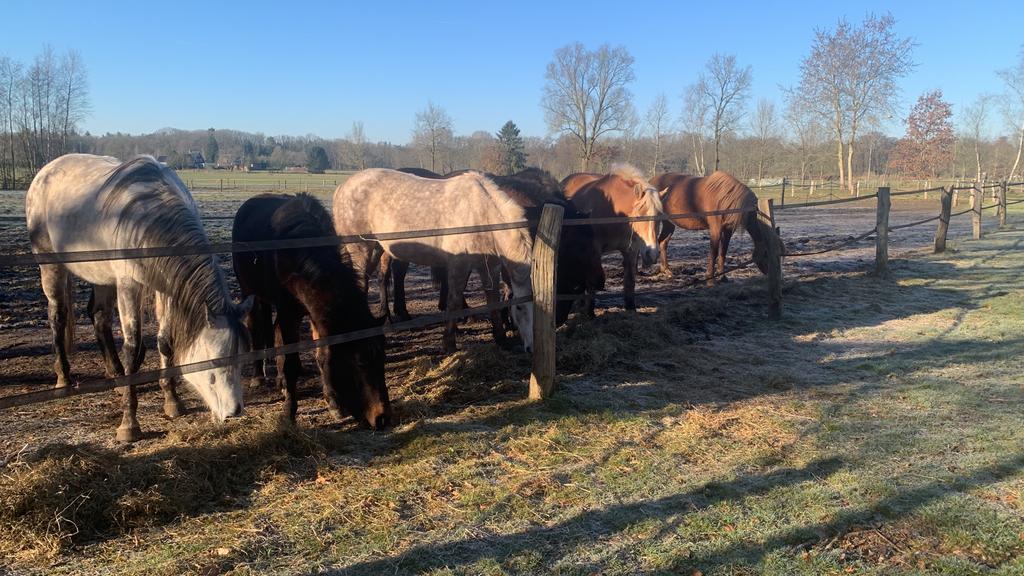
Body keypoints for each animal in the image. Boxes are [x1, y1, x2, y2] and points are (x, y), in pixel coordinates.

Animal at [25, 154, 252, 442]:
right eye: (214, 361)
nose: (234, 411)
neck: (150, 219)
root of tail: (46, 170)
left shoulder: (164, 289)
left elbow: (164, 342)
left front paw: (172, 401)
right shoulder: (128, 286)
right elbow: (132, 348)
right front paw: (129, 424)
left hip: (102, 277)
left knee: (99, 317)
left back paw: (116, 376)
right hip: (51, 266)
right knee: (57, 315)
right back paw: (63, 377)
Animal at [232, 193, 391, 429]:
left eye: (382, 358)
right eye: (360, 361)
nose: (382, 418)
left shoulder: (315, 314)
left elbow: (322, 355)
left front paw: (334, 403)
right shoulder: (289, 313)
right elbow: (292, 363)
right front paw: (288, 413)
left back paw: (280, 381)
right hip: (251, 293)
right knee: (256, 328)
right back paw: (258, 375)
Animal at [333, 168, 534, 353]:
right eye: (519, 308)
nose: (530, 348)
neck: (481, 213)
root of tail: (342, 187)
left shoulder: (489, 266)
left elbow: (493, 299)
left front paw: (501, 339)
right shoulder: (458, 265)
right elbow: (453, 301)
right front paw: (449, 344)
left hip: (376, 248)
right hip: (360, 249)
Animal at [561, 164, 665, 311]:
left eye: (660, 216)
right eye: (639, 216)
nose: (652, 254)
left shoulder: (631, 250)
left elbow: (630, 281)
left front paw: (631, 308)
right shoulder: (594, 250)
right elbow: (591, 284)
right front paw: (589, 312)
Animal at [649, 171, 784, 284]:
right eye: (767, 253)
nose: (775, 275)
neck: (726, 199)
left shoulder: (728, 230)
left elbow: (723, 252)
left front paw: (722, 276)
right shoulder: (716, 229)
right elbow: (713, 252)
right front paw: (710, 278)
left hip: (669, 223)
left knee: (663, 242)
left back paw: (666, 271)